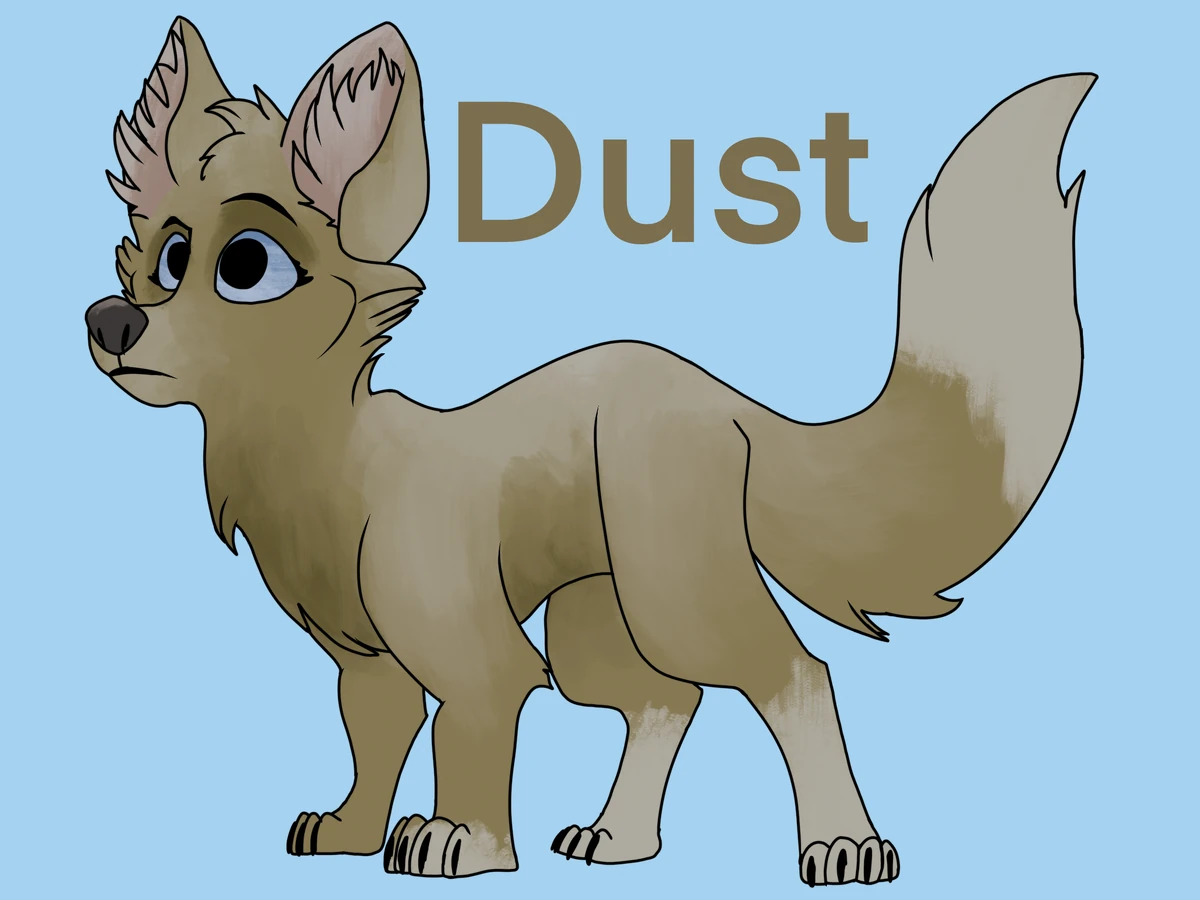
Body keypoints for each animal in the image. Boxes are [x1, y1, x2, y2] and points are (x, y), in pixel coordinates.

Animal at [85, 17, 1091, 886]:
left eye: (246, 266)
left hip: (673, 589)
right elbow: (376, 742)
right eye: (165, 258)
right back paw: (618, 839)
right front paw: (352, 833)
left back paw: (843, 848)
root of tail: (727, 403)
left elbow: (467, 739)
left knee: (792, 675)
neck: (331, 467)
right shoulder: (367, 664)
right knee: (666, 701)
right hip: (590, 621)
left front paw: (459, 842)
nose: (110, 322)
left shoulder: (472, 650)